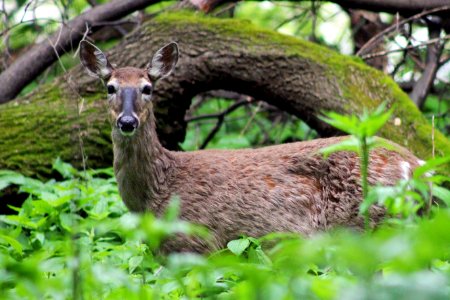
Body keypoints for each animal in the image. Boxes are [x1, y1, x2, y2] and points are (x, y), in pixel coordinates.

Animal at [80, 41, 422, 252]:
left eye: (147, 88)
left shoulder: (197, 242)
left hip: (368, 223)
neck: (158, 192)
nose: (127, 121)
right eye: (110, 87)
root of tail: (418, 166)